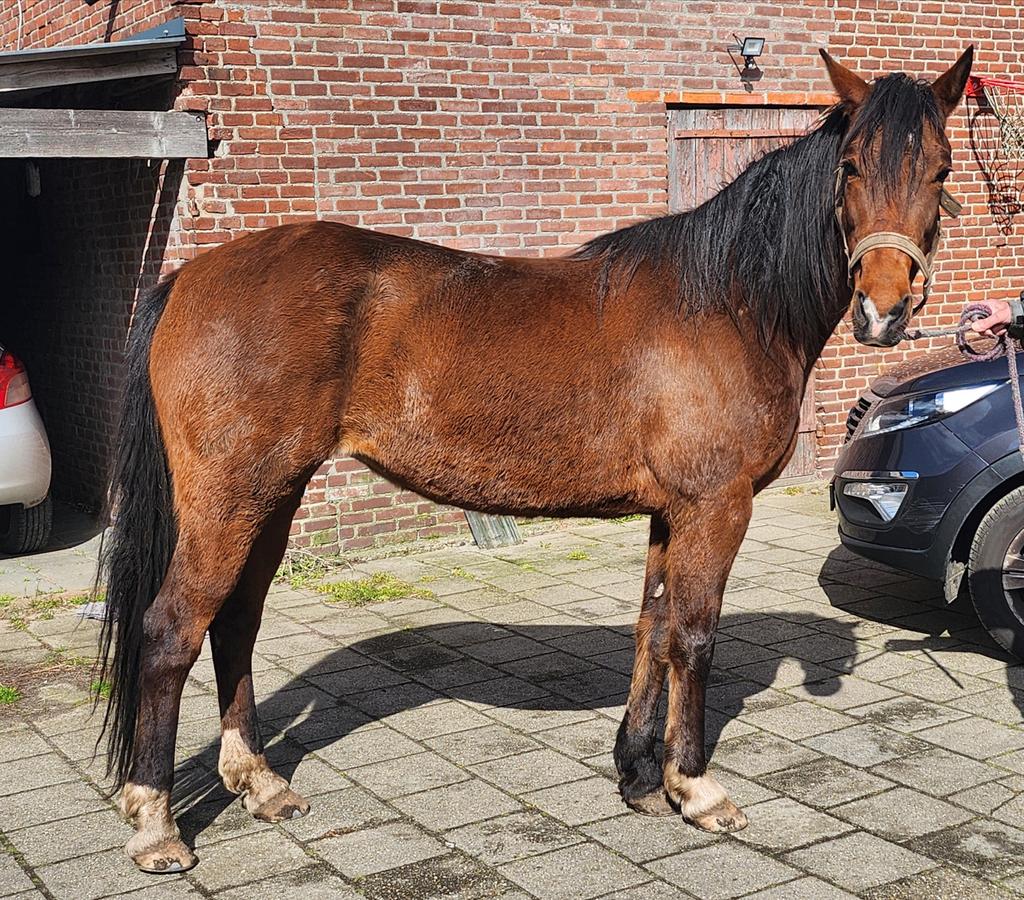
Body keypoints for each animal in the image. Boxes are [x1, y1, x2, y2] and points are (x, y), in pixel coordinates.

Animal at [95, 47, 974, 872]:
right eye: (851, 165)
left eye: (940, 170)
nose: (885, 312)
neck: (729, 300)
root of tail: (191, 277)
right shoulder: (714, 505)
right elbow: (693, 636)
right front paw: (695, 788)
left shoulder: (669, 513)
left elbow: (652, 628)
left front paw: (638, 776)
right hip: (229, 499)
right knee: (173, 630)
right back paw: (156, 824)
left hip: (271, 497)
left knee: (235, 623)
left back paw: (261, 783)